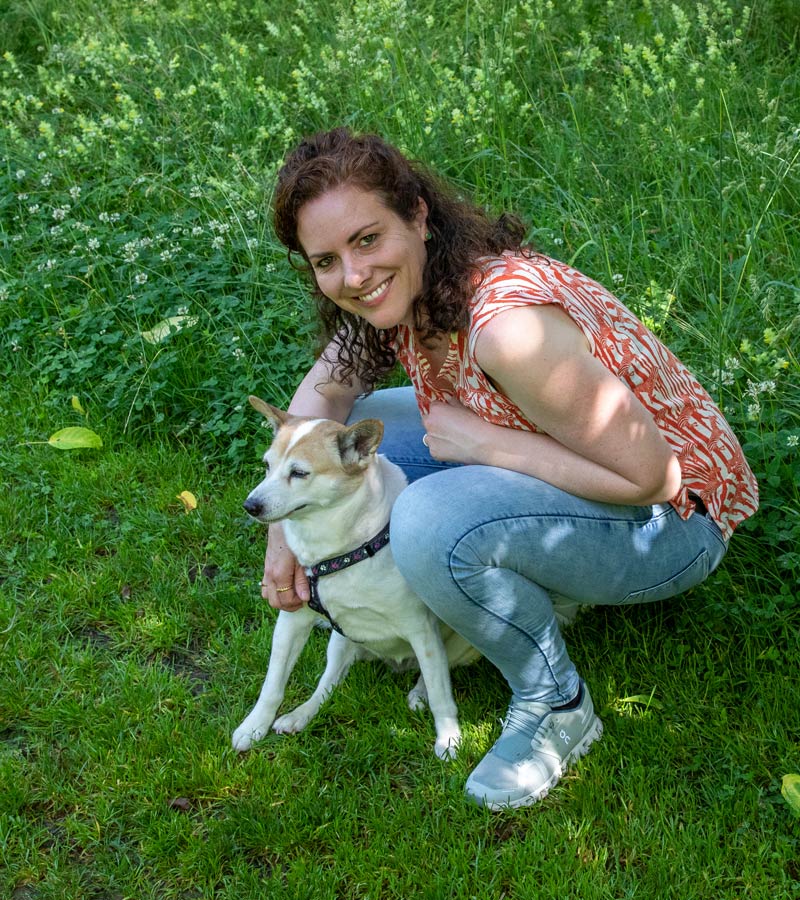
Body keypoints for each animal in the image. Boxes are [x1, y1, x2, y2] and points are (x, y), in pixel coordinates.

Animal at [231, 398, 482, 756]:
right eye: (266, 466)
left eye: (299, 473)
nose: (250, 505)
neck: (340, 549)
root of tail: (396, 664)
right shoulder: (291, 621)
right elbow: (273, 683)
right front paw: (254, 727)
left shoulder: (422, 629)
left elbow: (440, 693)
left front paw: (449, 738)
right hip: (341, 641)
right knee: (328, 682)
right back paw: (300, 715)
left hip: (460, 642)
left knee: (433, 674)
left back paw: (418, 693)